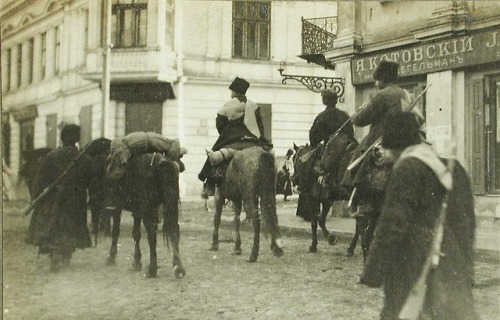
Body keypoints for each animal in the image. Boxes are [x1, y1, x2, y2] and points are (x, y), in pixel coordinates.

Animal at [88, 139, 186, 278]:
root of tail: (162, 163)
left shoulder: (118, 207)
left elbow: (116, 231)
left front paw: (112, 256)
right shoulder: (137, 211)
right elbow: (136, 234)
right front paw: (136, 261)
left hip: (148, 210)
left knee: (152, 235)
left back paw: (152, 269)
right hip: (171, 205)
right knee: (174, 231)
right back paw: (178, 268)